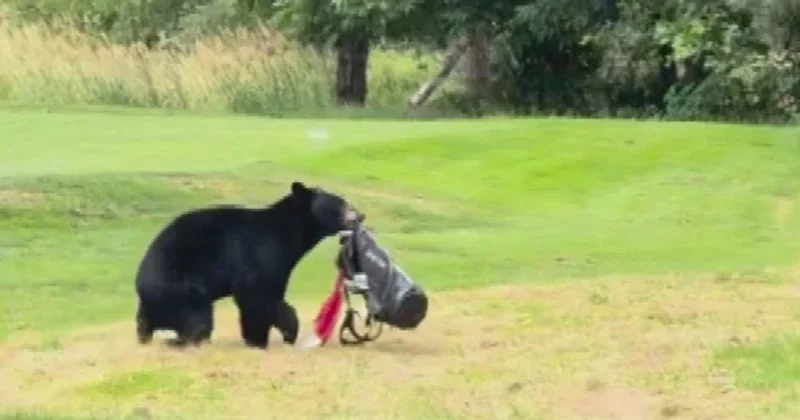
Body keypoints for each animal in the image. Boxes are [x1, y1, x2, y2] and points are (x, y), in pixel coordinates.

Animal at [134, 180, 364, 349]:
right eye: (342, 204)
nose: (361, 215)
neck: (288, 233)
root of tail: (142, 287)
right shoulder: (260, 255)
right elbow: (255, 295)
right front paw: (268, 337)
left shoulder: (279, 266)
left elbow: (272, 294)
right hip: (181, 285)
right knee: (197, 314)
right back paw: (185, 339)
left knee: (146, 322)